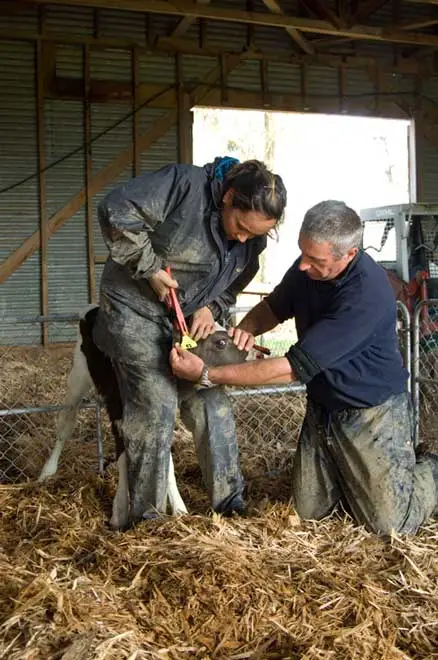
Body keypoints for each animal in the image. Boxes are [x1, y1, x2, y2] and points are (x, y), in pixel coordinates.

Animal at [39, 306, 252, 532]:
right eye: (220, 342)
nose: (253, 349)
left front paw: (178, 511)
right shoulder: (121, 414)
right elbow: (133, 458)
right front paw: (120, 513)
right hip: (78, 376)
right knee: (65, 424)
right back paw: (47, 472)